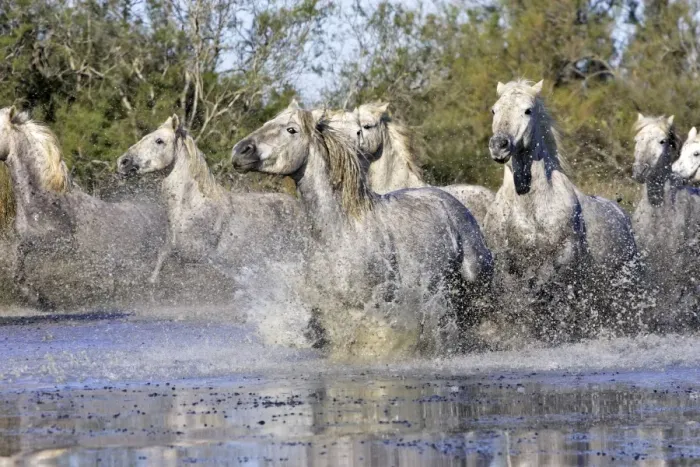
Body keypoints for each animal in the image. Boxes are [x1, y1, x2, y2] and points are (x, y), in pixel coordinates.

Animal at [485, 80, 638, 342]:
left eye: (528, 111)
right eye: (494, 110)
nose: (499, 146)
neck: (531, 210)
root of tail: (621, 214)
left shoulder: (563, 255)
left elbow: (540, 287)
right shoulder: (504, 259)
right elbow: (515, 296)